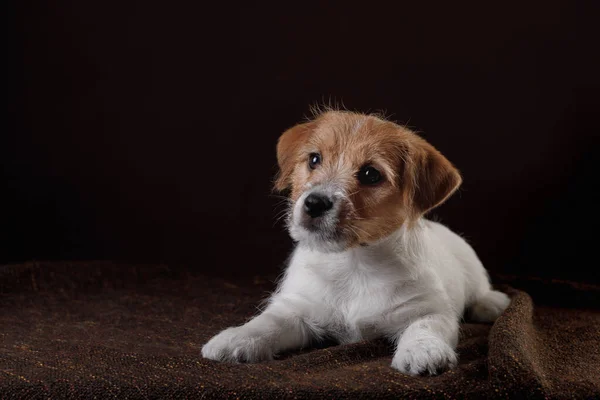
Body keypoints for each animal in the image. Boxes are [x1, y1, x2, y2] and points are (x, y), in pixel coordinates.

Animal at [203, 109, 510, 376]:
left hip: (470, 263)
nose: (314, 203)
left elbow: (424, 328)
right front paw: (235, 338)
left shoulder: (428, 309)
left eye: (370, 174)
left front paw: (423, 352)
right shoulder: (297, 307)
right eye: (314, 159)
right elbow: (268, 323)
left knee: (479, 288)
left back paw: (492, 303)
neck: (353, 262)